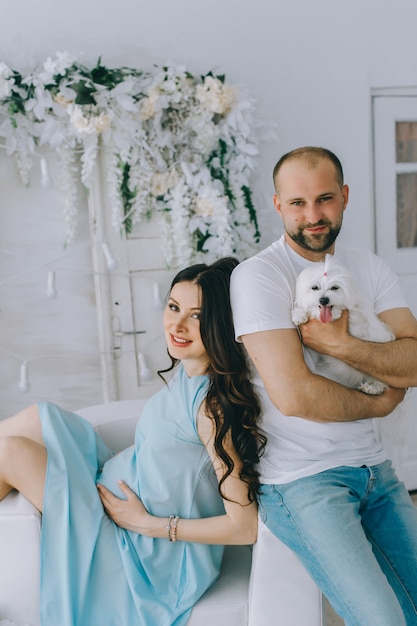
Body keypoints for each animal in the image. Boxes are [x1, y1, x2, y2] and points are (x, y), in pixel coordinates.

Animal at [290, 251, 394, 392]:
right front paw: (299, 315)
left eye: (334, 288)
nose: (323, 300)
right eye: (315, 288)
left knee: (381, 381)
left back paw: (371, 388)